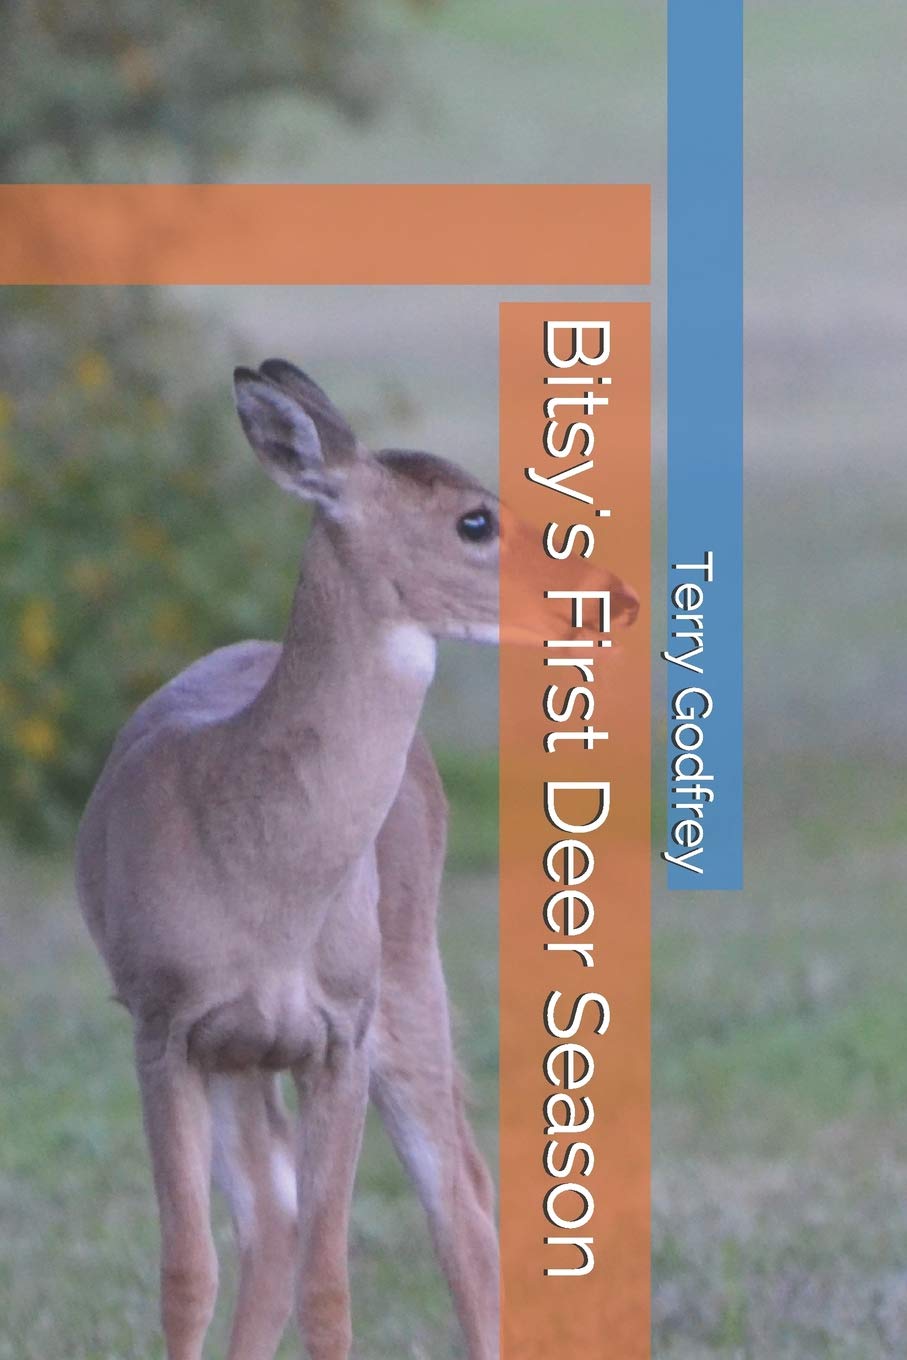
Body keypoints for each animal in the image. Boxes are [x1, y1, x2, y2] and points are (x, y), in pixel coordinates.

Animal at [75, 358, 639, 1360]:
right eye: (474, 520)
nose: (613, 594)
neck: (263, 884)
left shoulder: (341, 1029)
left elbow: (330, 1286)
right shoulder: (163, 1023)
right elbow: (190, 1275)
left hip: (408, 968)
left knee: (459, 1196)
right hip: (251, 1048)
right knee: (272, 1219)